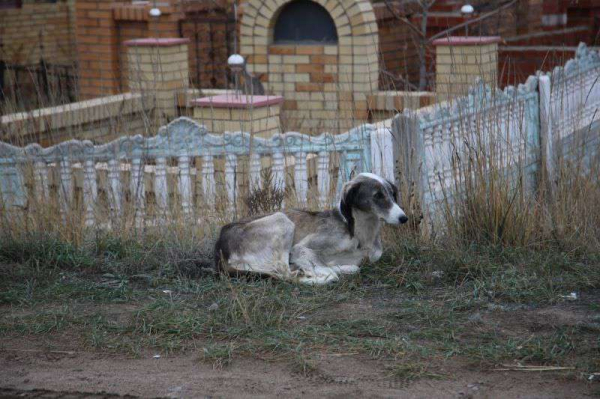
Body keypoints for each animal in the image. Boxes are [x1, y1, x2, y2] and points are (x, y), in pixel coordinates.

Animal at [212, 173, 408, 284]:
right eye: (377, 196)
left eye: (392, 193)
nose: (404, 218)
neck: (359, 231)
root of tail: (220, 250)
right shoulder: (300, 249)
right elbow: (327, 268)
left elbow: (352, 266)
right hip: (282, 220)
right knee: (287, 275)